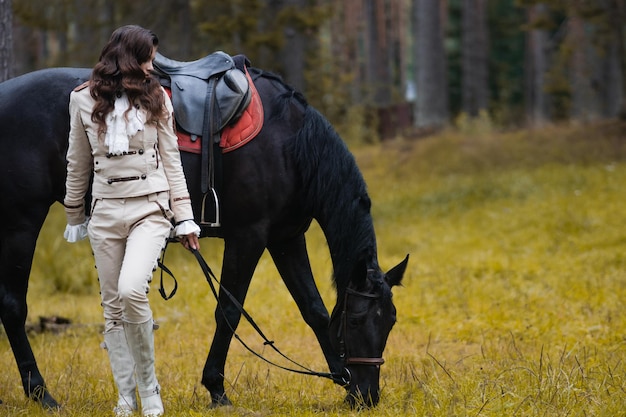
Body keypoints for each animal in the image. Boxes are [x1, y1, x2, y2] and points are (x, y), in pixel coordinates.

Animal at [0, 63, 408, 408]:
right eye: (356, 322)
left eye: (390, 321)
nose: (368, 395)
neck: (291, 145)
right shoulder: (249, 237)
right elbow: (229, 310)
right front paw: (216, 388)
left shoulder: (286, 238)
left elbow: (314, 309)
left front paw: (341, 377)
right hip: (20, 224)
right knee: (13, 306)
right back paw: (40, 393)